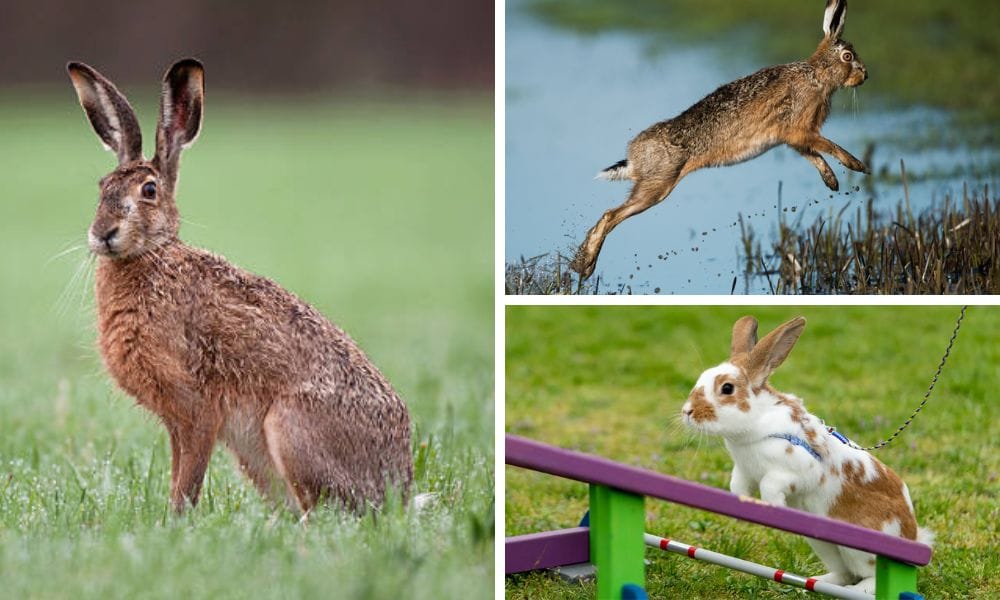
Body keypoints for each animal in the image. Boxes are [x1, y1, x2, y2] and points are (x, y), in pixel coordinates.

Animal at [67, 58, 413, 515]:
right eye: (102, 187)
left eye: (149, 190)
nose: (103, 234)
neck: (154, 257)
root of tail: (400, 492)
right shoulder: (178, 421)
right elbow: (178, 474)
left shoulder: (197, 410)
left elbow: (187, 480)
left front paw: (176, 521)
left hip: (288, 429)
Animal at [571, 0, 869, 280]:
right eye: (847, 56)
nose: (865, 75)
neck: (818, 75)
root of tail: (634, 155)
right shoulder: (801, 128)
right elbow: (828, 146)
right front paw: (857, 165)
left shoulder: (793, 137)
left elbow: (814, 155)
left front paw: (832, 182)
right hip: (658, 185)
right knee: (610, 215)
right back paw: (584, 266)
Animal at [680, 316, 932, 594]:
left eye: (727, 388)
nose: (687, 411)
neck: (755, 424)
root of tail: (912, 535)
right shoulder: (744, 471)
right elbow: (737, 486)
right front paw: (742, 507)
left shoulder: (796, 471)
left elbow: (770, 485)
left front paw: (774, 507)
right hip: (823, 544)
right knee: (844, 573)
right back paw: (817, 582)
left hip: (858, 549)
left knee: (869, 575)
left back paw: (857, 590)